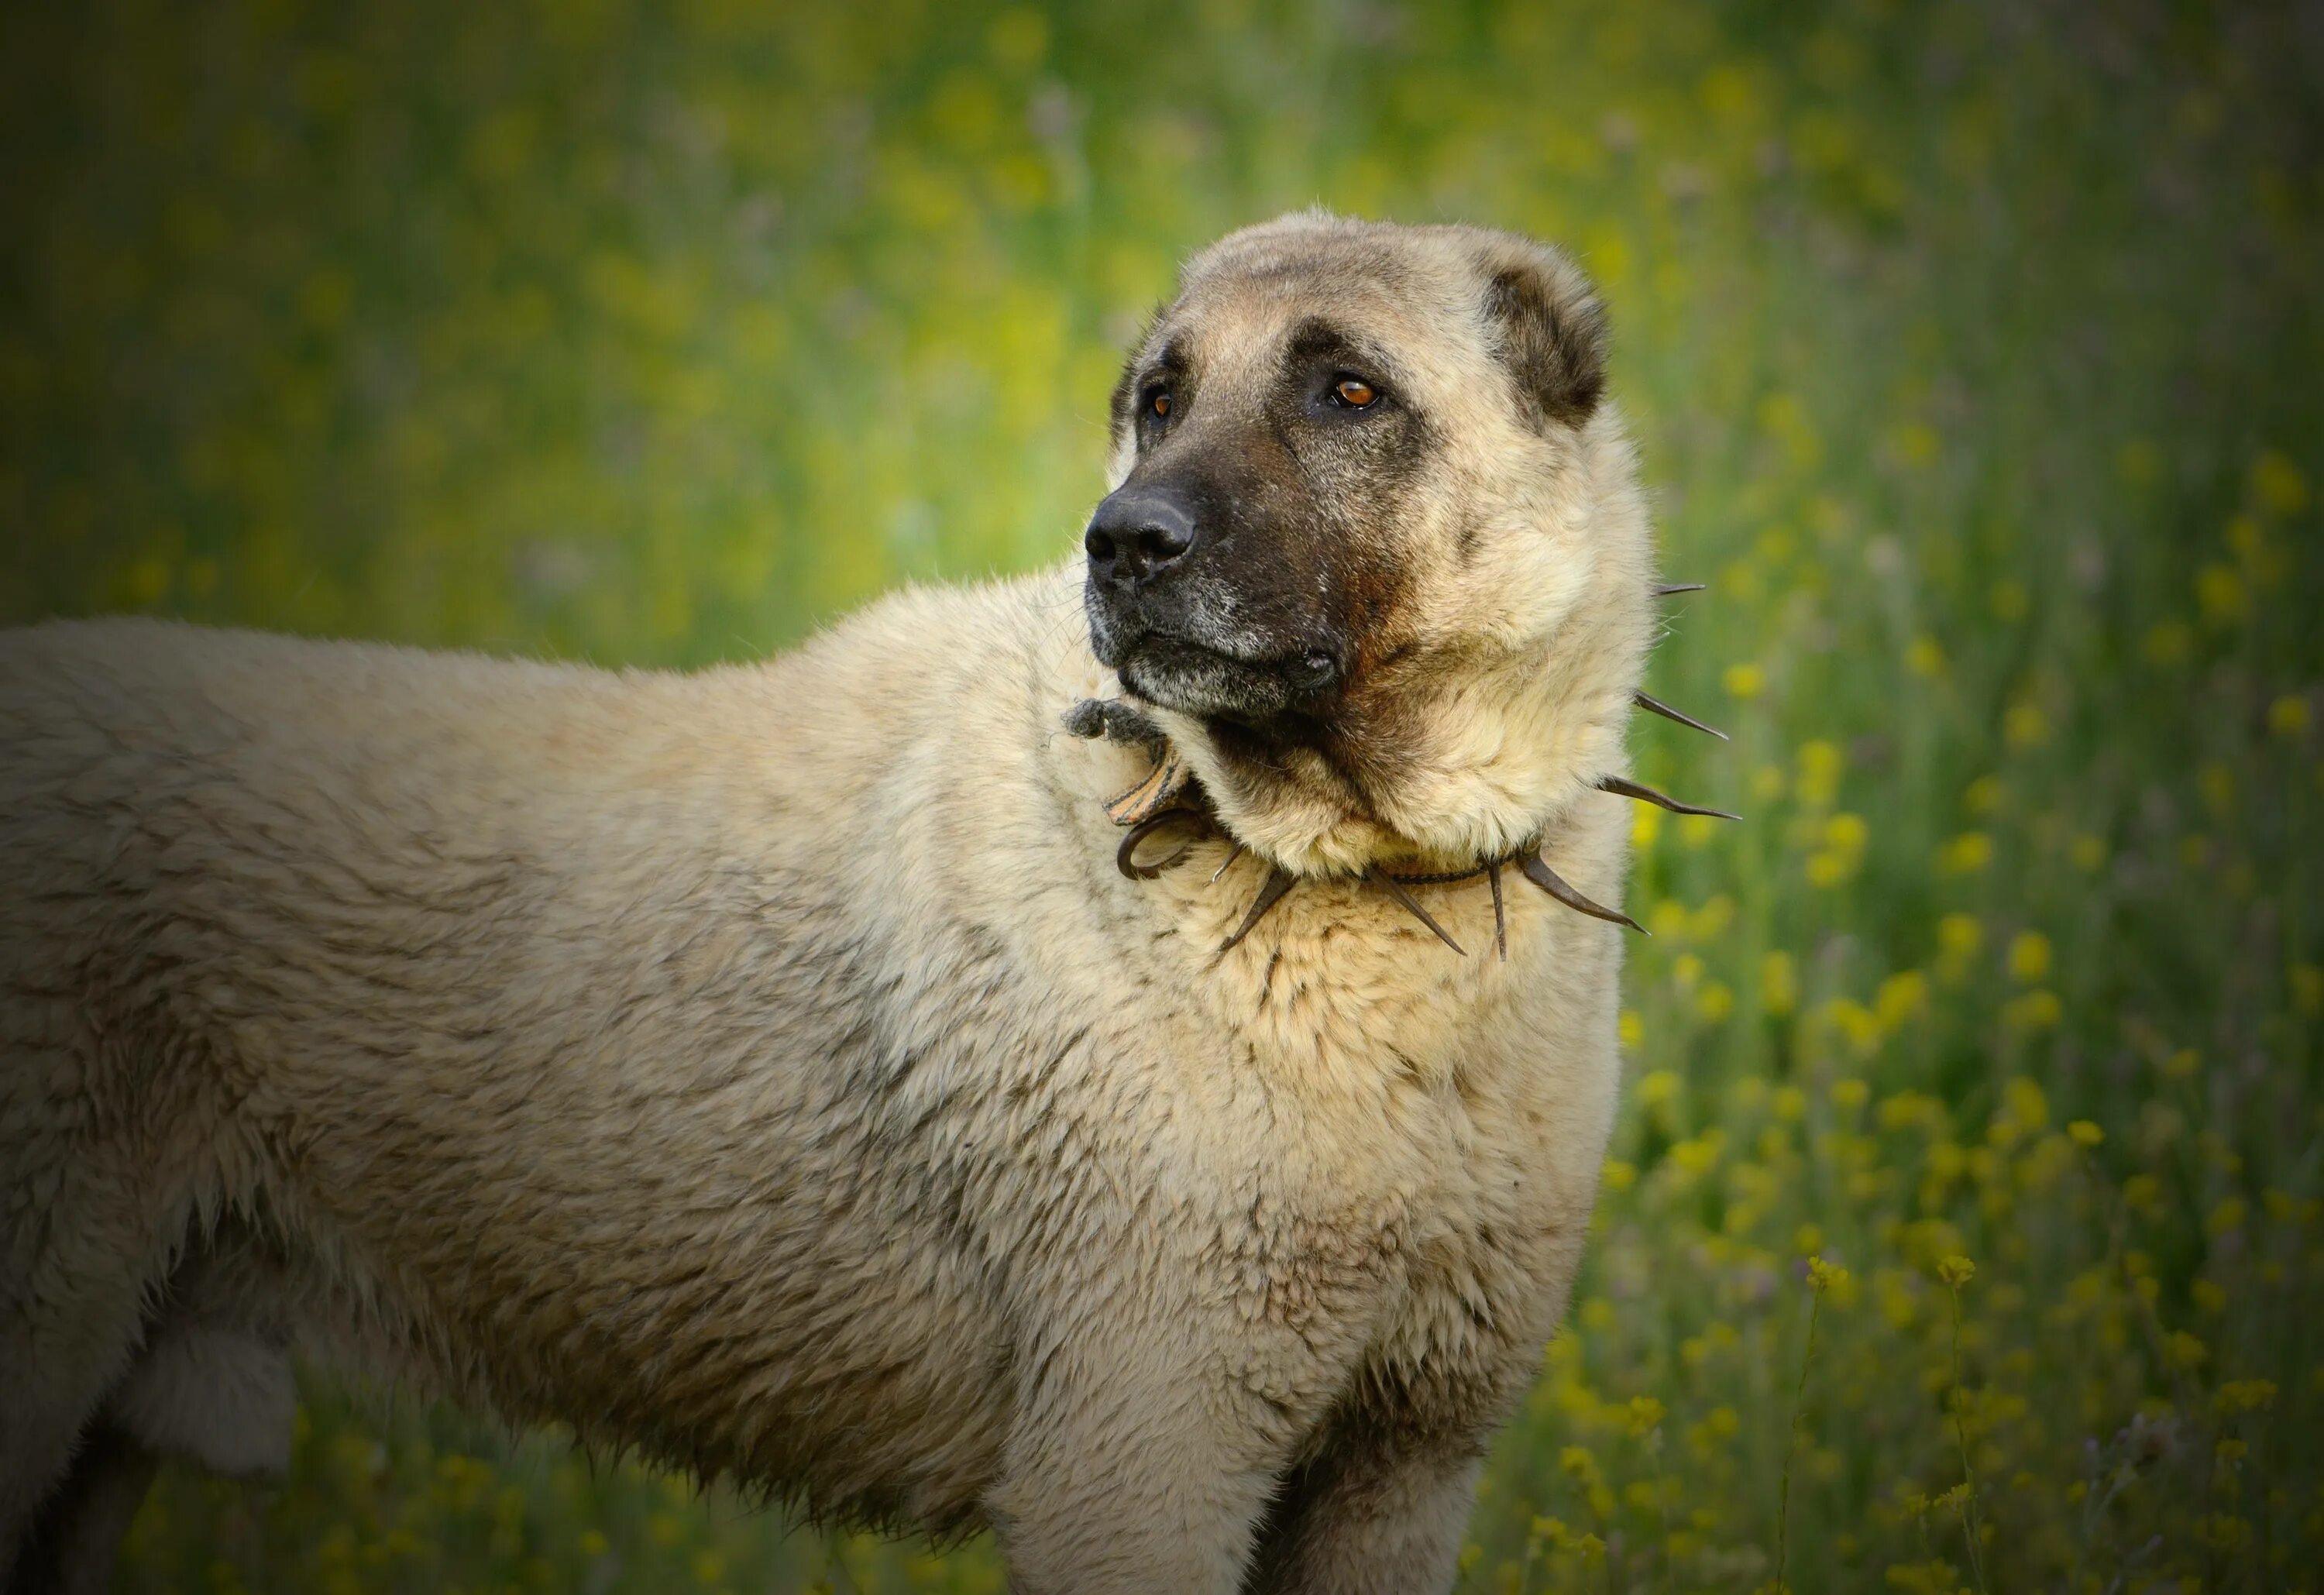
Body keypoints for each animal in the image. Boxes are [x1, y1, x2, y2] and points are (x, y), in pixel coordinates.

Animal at [4, 215, 1710, 1595]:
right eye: (1159, 398)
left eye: (1349, 391)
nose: (1125, 545)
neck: (1345, 891)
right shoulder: (1140, 1464)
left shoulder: (1395, 1474)